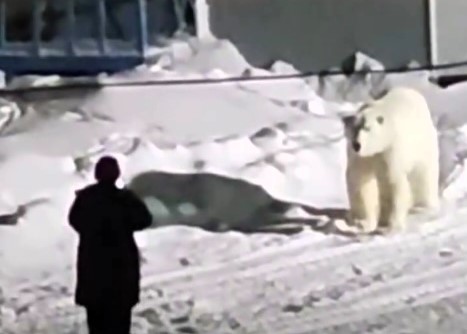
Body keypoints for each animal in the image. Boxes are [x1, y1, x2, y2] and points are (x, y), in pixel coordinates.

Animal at [344, 87, 438, 234]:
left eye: (367, 128)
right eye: (354, 129)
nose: (356, 145)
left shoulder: (390, 150)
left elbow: (393, 182)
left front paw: (391, 226)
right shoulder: (361, 157)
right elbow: (360, 181)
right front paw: (362, 222)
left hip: (423, 146)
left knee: (423, 176)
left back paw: (423, 207)